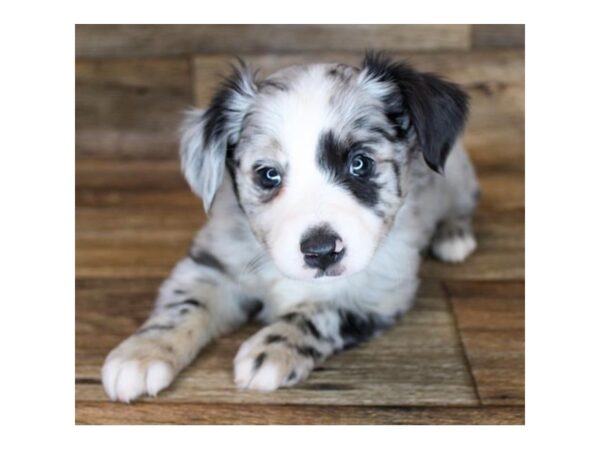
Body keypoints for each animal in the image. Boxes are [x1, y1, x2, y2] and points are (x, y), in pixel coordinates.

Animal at [101, 51, 480, 400]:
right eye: (268, 174)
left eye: (360, 163)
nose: (321, 251)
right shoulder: (211, 265)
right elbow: (185, 306)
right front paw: (142, 353)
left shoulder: (381, 293)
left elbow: (320, 312)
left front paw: (272, 349)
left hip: (457, 177)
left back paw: (454, 236)